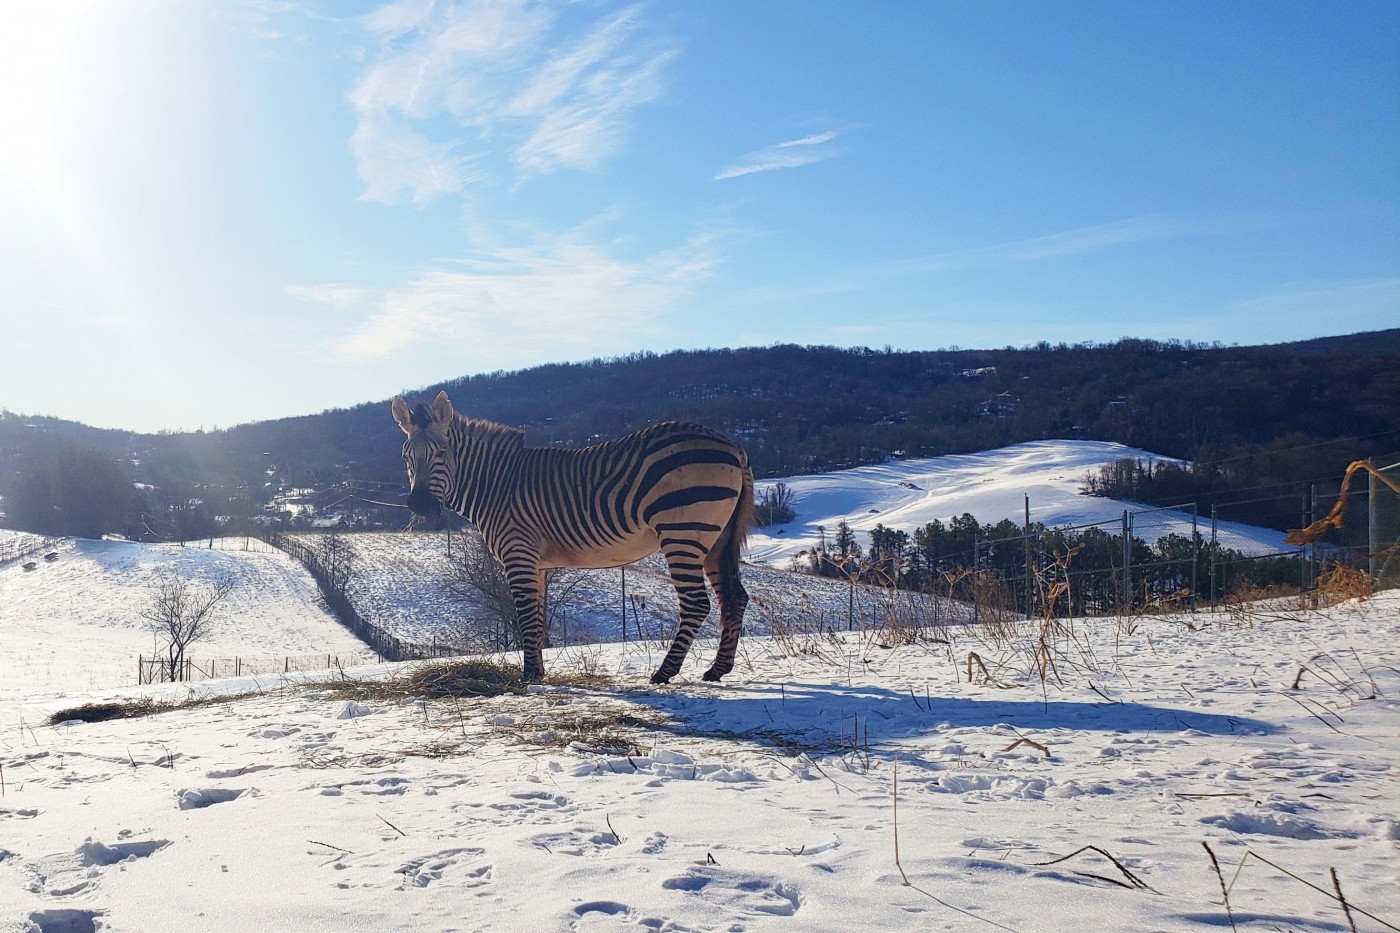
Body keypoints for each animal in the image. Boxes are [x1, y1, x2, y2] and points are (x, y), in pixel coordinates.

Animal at [392, 389, 756, 680]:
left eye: (441, 454)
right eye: (406, 457)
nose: (420, 505)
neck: (497, 485)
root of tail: (731, 444)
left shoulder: (519, 553)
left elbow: (525, 616)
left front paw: (530, 676)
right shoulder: (535, 563)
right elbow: (537, 617)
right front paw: (537, 672)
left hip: (682, 533)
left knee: (696, 603)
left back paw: (664, 672)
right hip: (716, 539)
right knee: (735, 598)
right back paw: (717, 669)